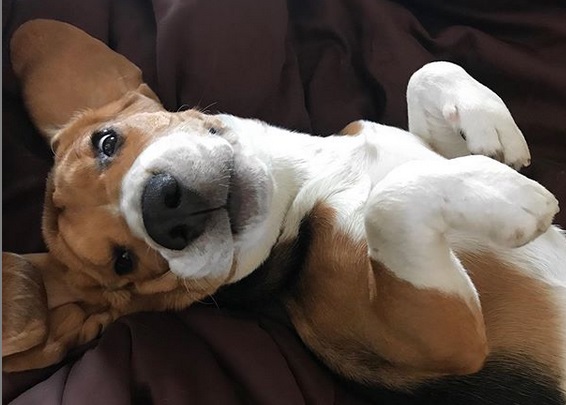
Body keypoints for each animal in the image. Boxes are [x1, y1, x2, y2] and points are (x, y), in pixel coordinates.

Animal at [4, 19, 566, 404]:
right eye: (123, 264)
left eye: (107, 142)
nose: (164, 211)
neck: (307, 185)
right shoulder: (448, 341)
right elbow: (389, 202)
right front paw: (505, 193)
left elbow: (426, 72)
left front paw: (489, 128)